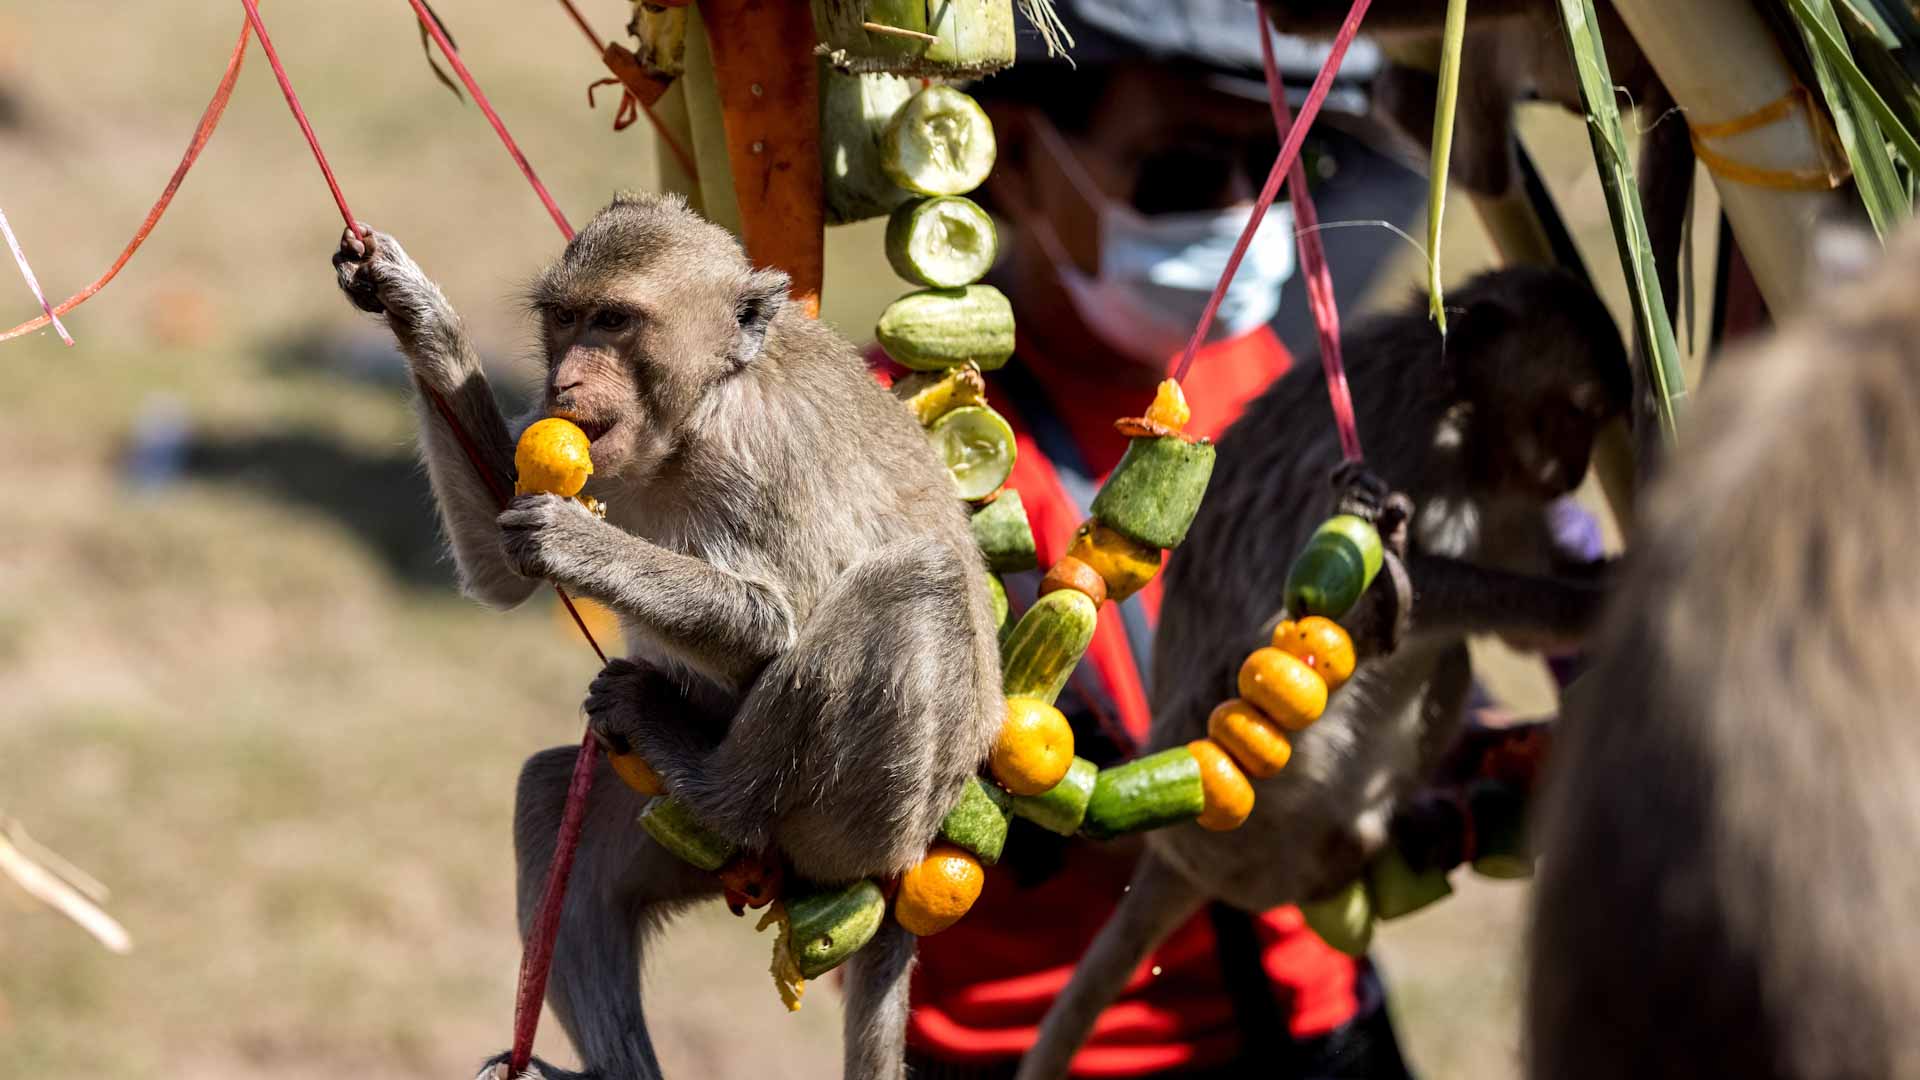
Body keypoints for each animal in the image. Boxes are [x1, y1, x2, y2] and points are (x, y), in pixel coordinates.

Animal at [334, 193, 1006, 1076]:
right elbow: (499, 574)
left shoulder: (762, 455)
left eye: (615, 321)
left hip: (857, 824)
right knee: (550, 799)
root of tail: (906, 863)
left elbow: (777, 623)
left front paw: (577, 545)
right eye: (566, 318)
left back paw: (714, 786)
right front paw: (415, 313)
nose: (566, 378)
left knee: (913, 584)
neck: (696, 416)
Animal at [1013, 263, 1628, 1076]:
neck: (1462, 410)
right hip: (1232, 813)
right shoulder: (1417, 447)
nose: (1577, 470)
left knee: (1442, 658)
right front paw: (1593, 604)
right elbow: (1413, 580)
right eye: (1575, 414)